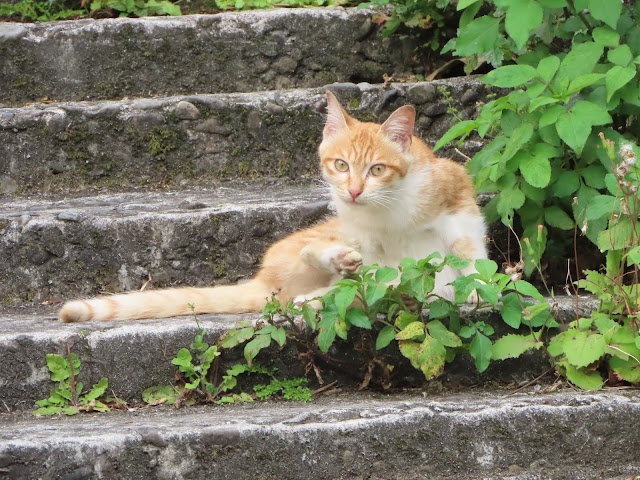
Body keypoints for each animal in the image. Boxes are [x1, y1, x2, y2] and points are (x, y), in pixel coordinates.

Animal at [60, 90, 488, 322]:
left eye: (377, 169)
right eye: (341, 165)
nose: (352, 191)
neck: (390, 209)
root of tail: (264, 282)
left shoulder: (456, 193)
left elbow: (467, 250)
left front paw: (479, 284)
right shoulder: (361, 231)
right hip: (323, 248)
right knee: (325, 268)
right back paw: (328, 270)